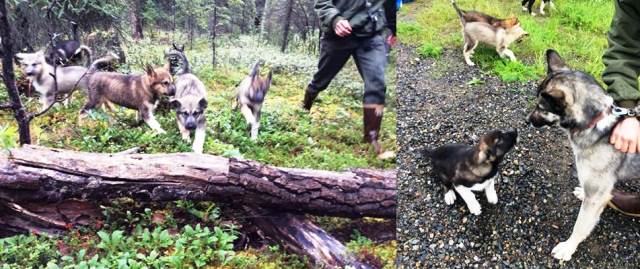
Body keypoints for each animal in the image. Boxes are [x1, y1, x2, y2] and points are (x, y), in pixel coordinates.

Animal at [528, 48, 640, 260]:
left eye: (541, 107)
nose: (528, 120)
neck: (596, 121)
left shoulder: (596, 197)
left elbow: (580, 226)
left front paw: (568, 247)